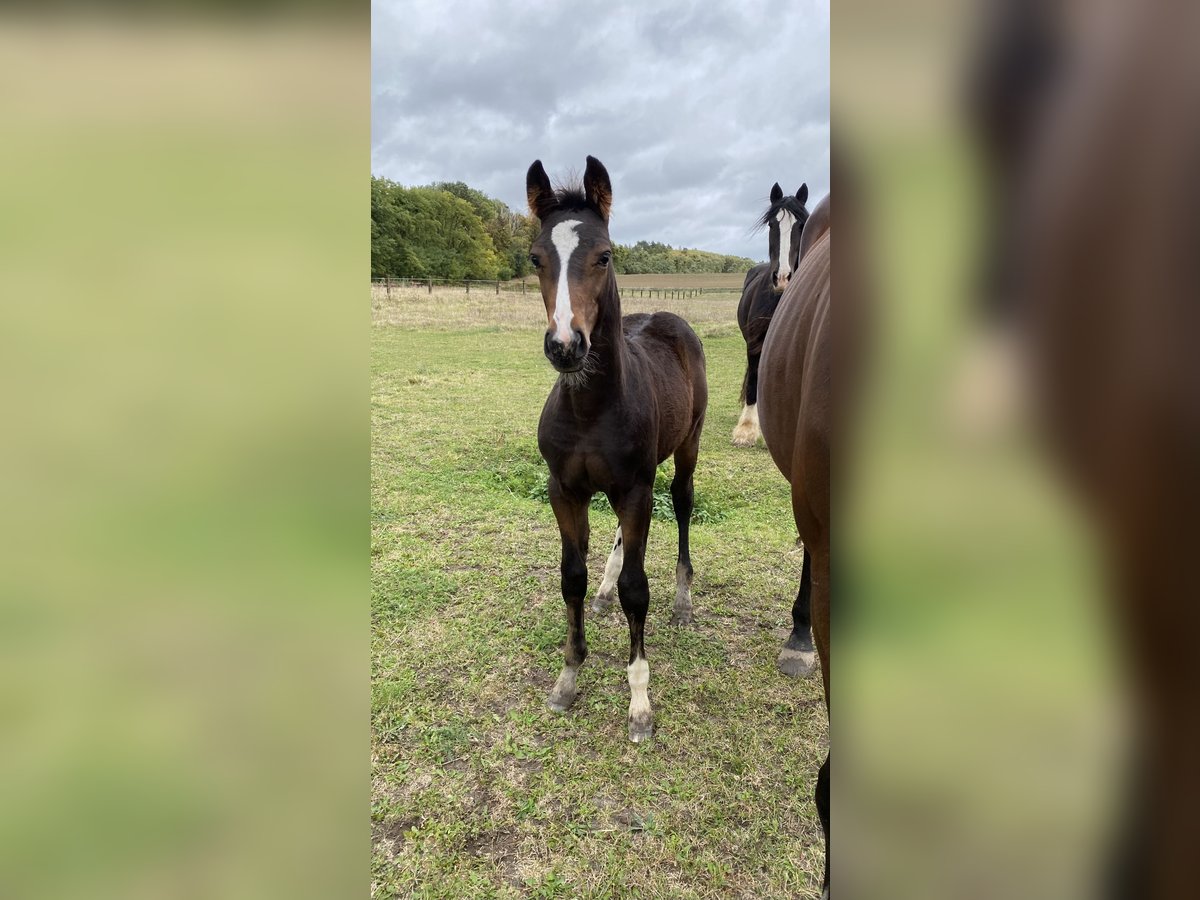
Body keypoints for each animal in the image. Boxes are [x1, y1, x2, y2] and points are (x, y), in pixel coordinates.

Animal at [523, 157, 705, 748]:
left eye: (604, 255)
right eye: (535, 258)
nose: (565, 346)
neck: (590, 410)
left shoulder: (635, 488)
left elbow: (637, 589)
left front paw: (640, 703)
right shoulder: (566, 489)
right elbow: (571, 577)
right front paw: (567, 678)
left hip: (684, 450)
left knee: (683, 504)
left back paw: (683, 599)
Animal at [729, 183, 806, 451]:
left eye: (801, 225)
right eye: (772, 224)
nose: (782, 278)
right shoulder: (754, 343)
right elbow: (753, 378)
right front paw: (746, 430)